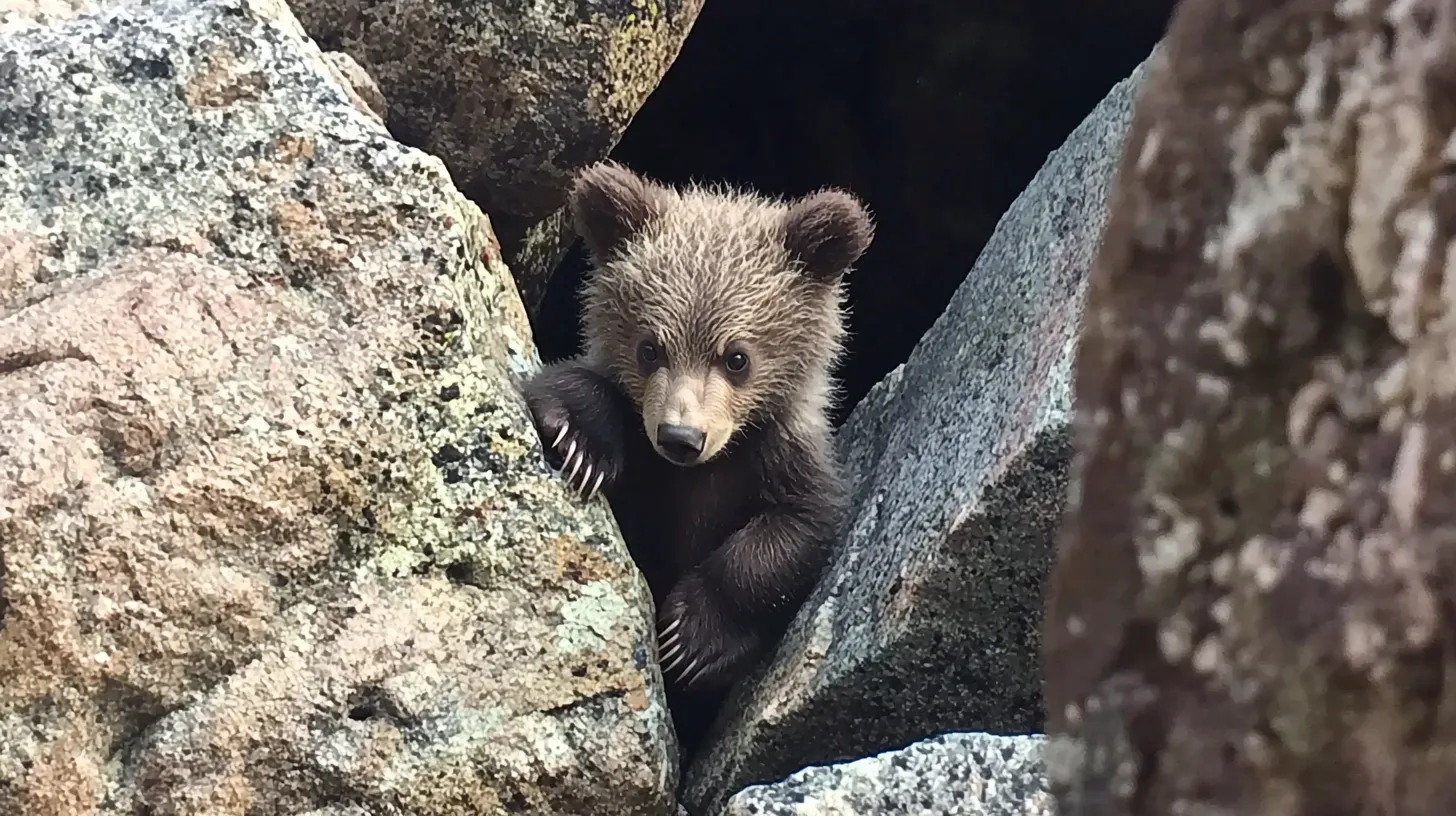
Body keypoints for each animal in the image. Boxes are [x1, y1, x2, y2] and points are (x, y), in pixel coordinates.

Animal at [520, 160, 873, 764]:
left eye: (737, 357)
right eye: (649, 347)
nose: (681, 437)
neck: (695, 476)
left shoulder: (778, 458)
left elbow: (792, 535)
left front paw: (692, 638)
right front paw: (581, 440)